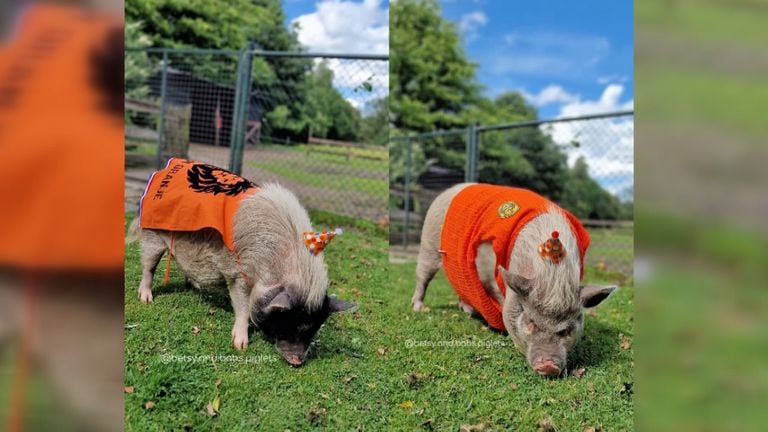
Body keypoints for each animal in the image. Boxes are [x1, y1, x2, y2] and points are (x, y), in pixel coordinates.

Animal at [134, 181, 356, 366]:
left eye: (313, 328)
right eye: (288, 322)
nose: (297, 362)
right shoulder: (238, 274)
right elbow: (242, 307)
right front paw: (240, 346)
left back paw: (193, 287)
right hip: (152, 235)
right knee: (148, 267)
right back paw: (146, 299)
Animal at [412, 184, 616, 376]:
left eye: (566, 330)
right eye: (530, 321)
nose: (548, 366)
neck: (552, 276)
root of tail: (448, 190)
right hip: (428, 244)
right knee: (423, 276)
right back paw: (419, 308)